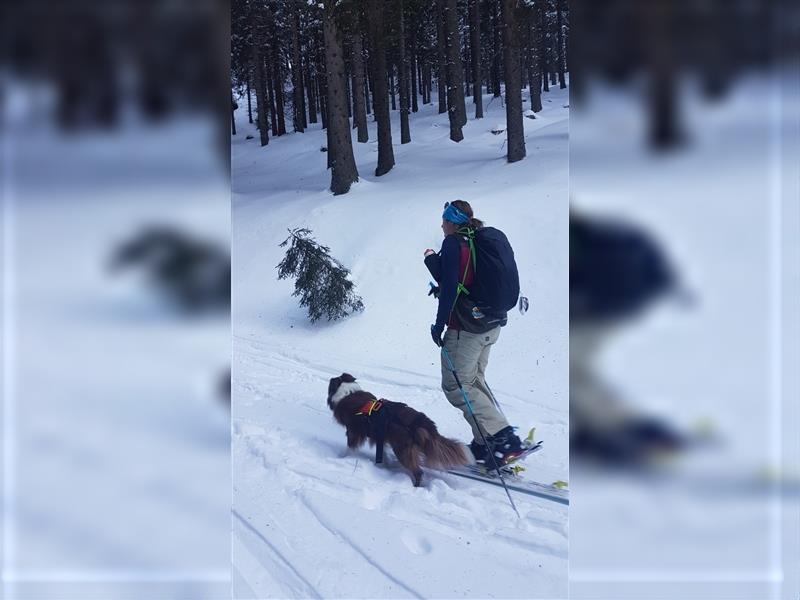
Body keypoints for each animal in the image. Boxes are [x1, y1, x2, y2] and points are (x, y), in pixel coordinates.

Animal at [326, 370, 468, 488]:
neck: (347, 393)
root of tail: (421, 421)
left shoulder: (353, 432)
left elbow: (349, 448)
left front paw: (341, 458)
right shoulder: (380, 437)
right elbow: (382, 453)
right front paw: (382, 466)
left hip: (402, 450)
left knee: (418, 472)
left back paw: (415, 487)